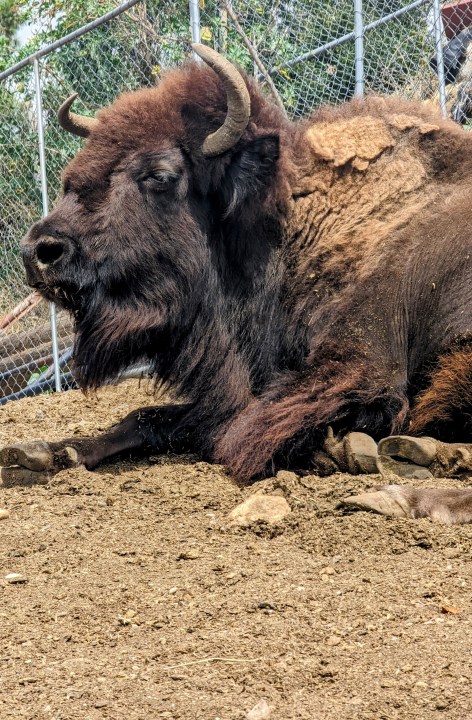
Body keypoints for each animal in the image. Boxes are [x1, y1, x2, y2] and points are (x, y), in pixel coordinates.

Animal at [5, 46, 472, 524]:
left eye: (158, 174)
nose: (39, 251)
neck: (288, 230)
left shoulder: (357, 369)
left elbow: (232, 430)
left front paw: (338, 449)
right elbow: (144, 418)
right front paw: (43, 453)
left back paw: (394, 484)